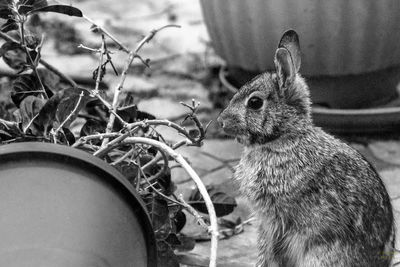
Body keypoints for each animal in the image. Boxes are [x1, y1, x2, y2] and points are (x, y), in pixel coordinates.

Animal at [217, 30, 396, 266]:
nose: (220, 122)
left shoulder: (275, 220)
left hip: (319, 255)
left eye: (254, 102)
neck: (283, 138)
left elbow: (270, 251)